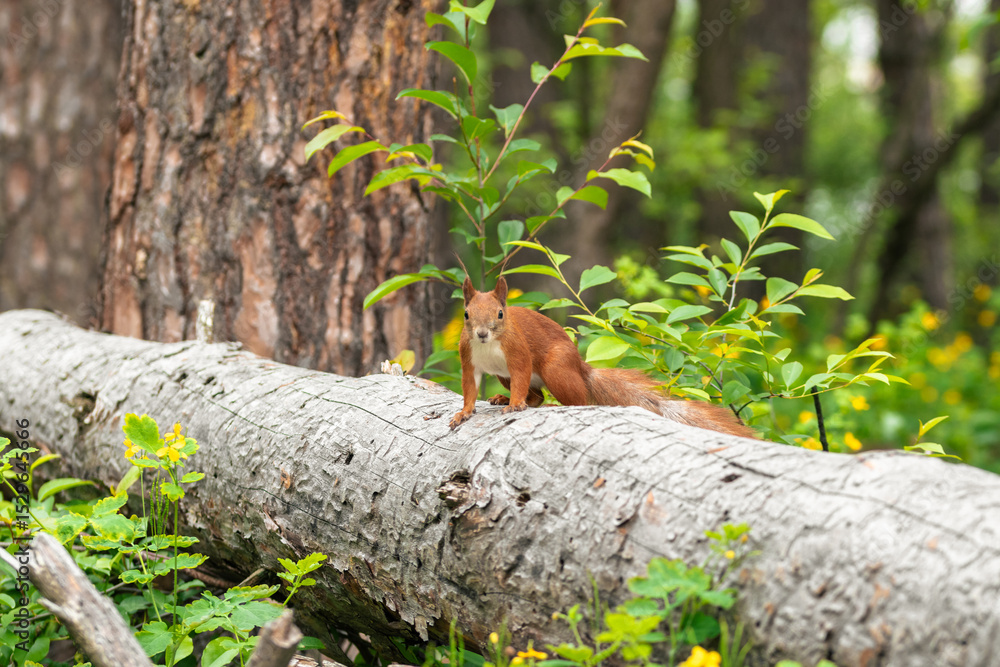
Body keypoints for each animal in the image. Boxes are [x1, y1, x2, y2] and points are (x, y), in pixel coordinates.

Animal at [448, 276, 755, 438]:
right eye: (466, 314)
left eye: (501, 314)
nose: (482, 333)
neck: (488, 346)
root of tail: (580, 366)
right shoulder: (469, 361)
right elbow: (469, 389)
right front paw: (464, 413)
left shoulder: (519, 353)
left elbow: (522, 377)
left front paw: (513, 405)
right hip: (504, 375)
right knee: (537, 396)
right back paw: (504, 397)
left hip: (556, 369)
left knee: (576, 401)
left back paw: (549, 405)